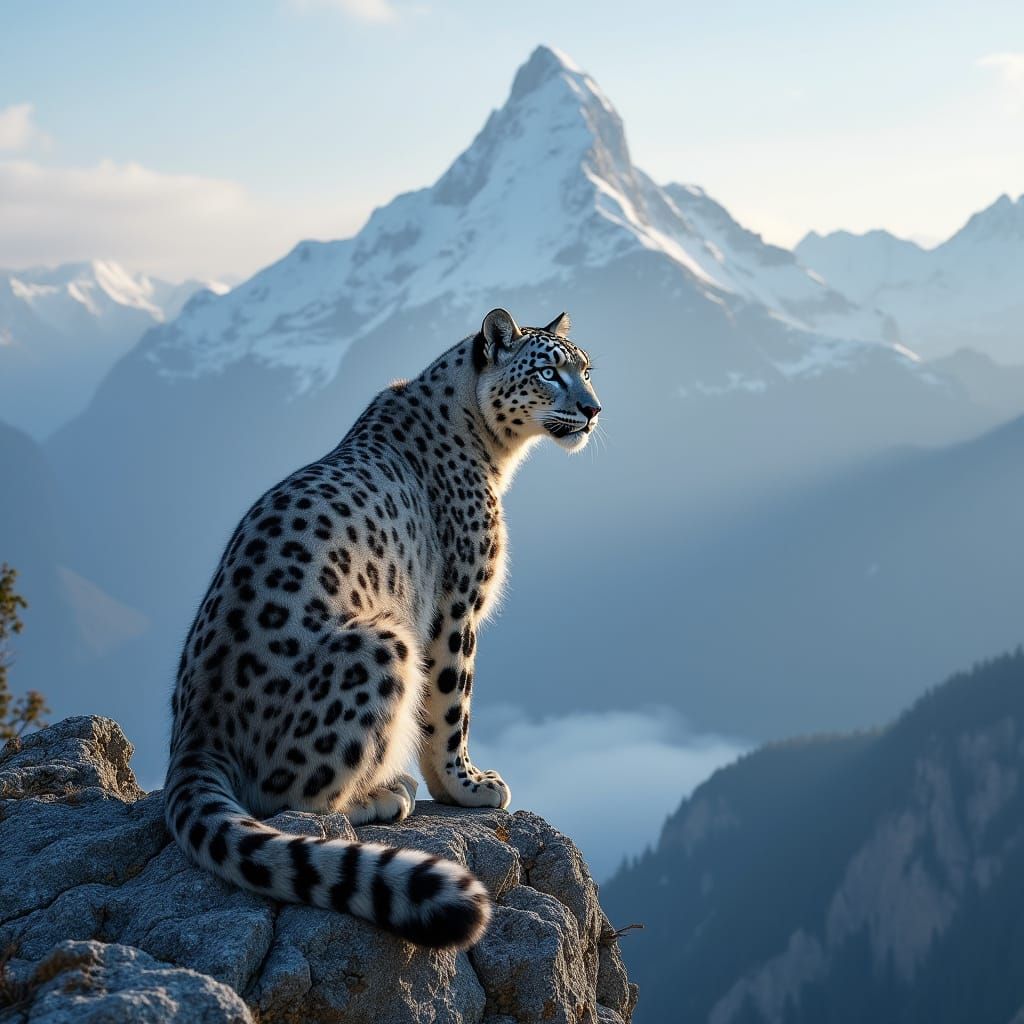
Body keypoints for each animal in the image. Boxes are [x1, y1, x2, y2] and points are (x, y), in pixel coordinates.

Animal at [163, 308, 601, 949]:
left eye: (586, 369)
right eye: (548, 371)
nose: (593, 409)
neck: (495, 456)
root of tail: (197, 730)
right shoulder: (456, 607)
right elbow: (450, 707)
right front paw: (467, 786)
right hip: (384, 643)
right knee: (287, 795)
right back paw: (386, 793)